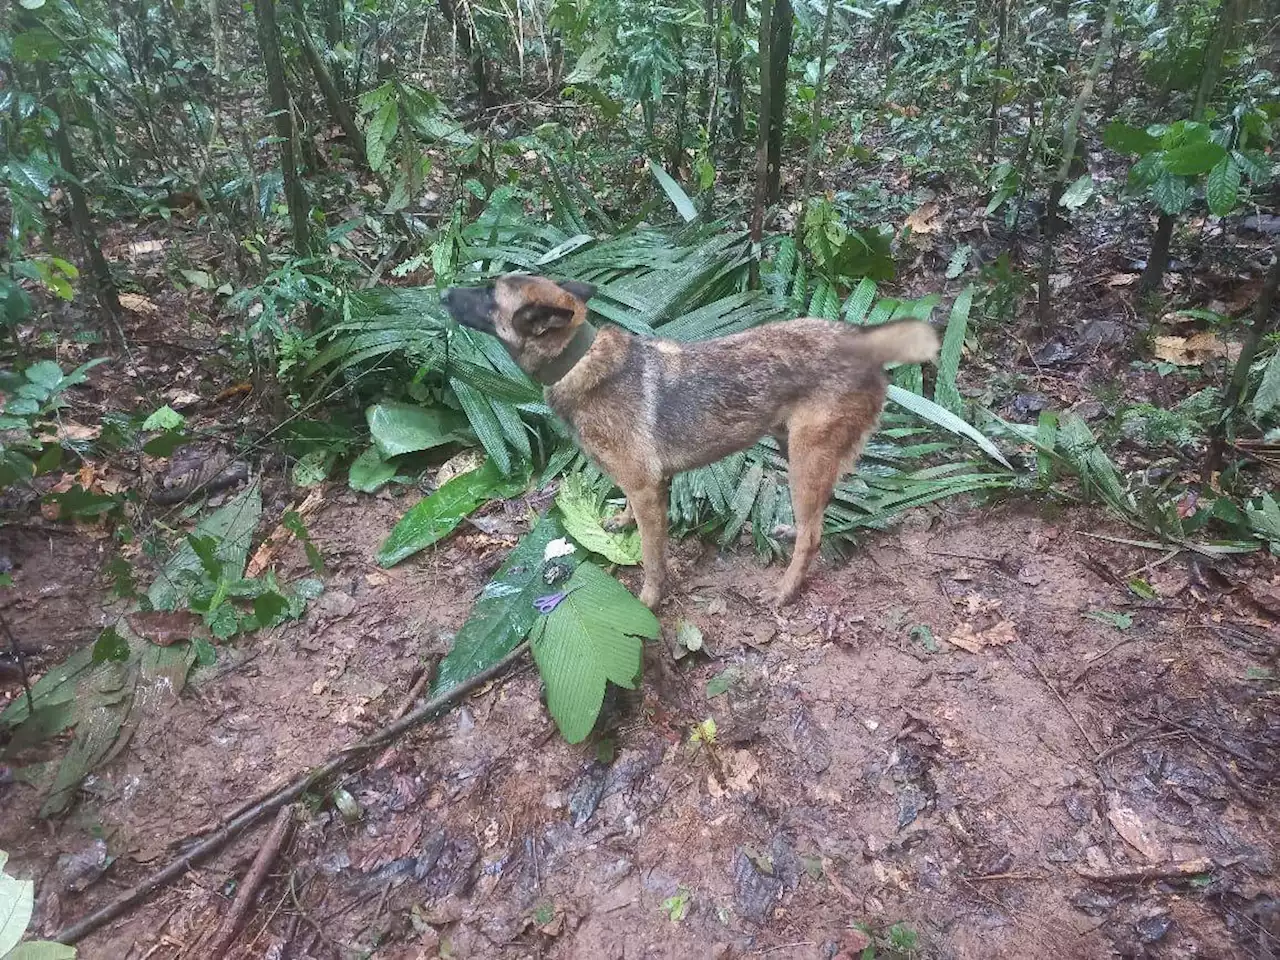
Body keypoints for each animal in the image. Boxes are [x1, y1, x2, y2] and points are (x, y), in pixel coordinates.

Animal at [442, 273, 942, 611]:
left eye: (488, 293)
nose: (442, 293)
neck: (578, 360)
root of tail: (862, 340)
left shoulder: (647, 489)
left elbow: (651, 557)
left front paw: (649, 599)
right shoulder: (646, 486)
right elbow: (632, 516)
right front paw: (621, 521)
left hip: (805, 456)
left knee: (815, 533)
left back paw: (786, 588)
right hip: (793, 448)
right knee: (818, 513)